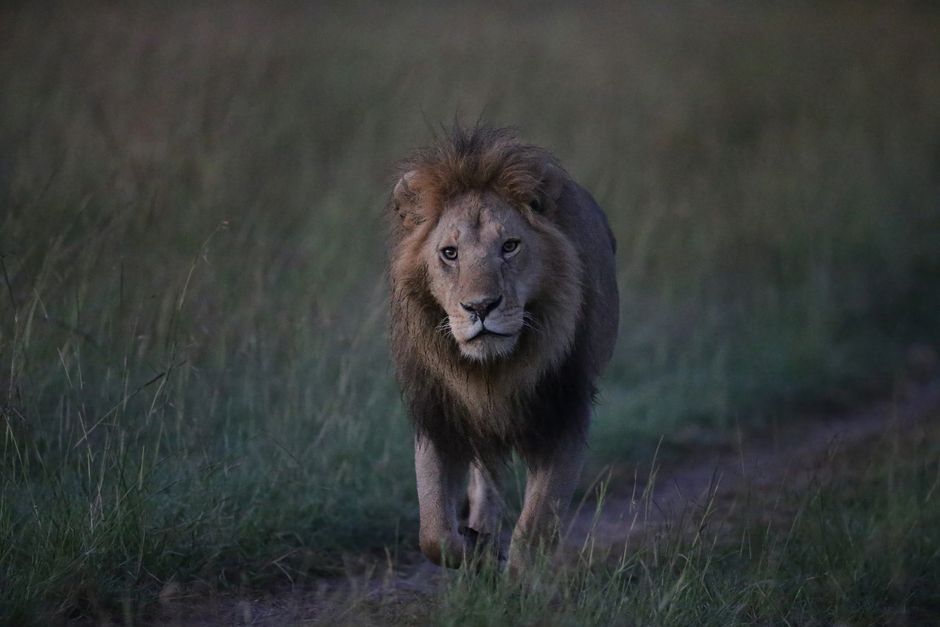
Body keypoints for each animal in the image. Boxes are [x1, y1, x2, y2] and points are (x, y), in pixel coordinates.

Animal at [387, 126, 619, 572]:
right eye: (449, 253)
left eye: (510, 246)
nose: (480, 307)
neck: (491, 370)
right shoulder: (439, 414)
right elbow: (433, 534)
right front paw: (474, 551)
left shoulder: (563, 415)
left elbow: (535, 526)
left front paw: (517, 577)